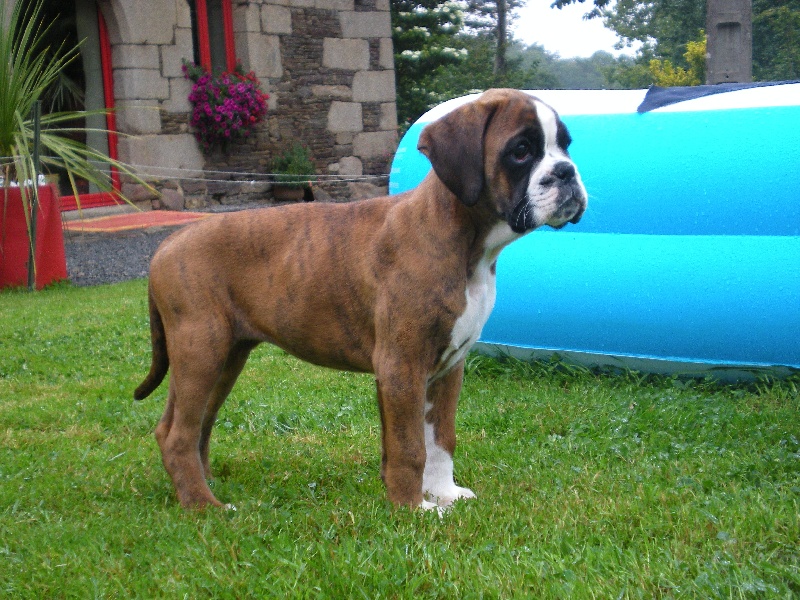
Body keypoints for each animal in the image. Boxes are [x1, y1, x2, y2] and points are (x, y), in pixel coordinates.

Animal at [134, 88, 587, 510]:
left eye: (566, 146)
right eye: (521, 151)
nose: (567, 172)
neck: (463, 240)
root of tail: (168, 243)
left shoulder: (446, 369)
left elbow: (440, 439)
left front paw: (443, 494)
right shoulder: (402, 366)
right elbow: (410, 447)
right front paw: (413, 509)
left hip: (225, 358)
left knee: (187, 426)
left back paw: (201, 487)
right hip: (202, 351)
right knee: (179, 434)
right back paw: (203, 505)